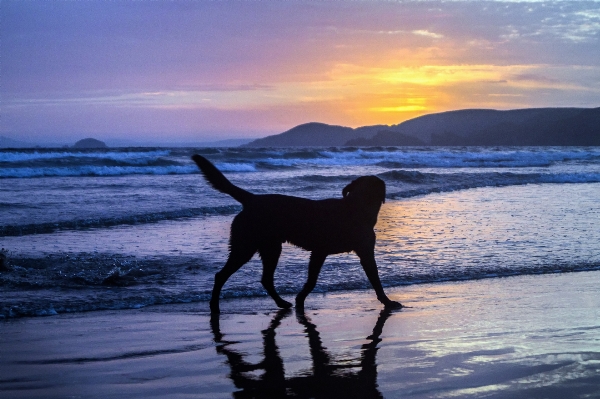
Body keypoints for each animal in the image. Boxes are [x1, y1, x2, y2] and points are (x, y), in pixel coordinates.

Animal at [192, 155, 404, 314]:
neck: (356, 209)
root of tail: (251, 199)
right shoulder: (323, 251)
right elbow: (314, 280)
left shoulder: (354, 252)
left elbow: (373, 278)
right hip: (246, 246)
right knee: (221, 275)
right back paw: (214, 306)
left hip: (270, 248)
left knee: (266, 279)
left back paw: (281, 303)